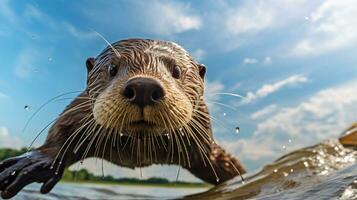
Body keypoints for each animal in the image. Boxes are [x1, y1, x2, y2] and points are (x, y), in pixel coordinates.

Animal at [0, 38, 245, 198]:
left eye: (176, 70)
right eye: (112, 68)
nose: (144, 87)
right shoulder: (80, 110)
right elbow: (63, 132)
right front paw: (34, 162)